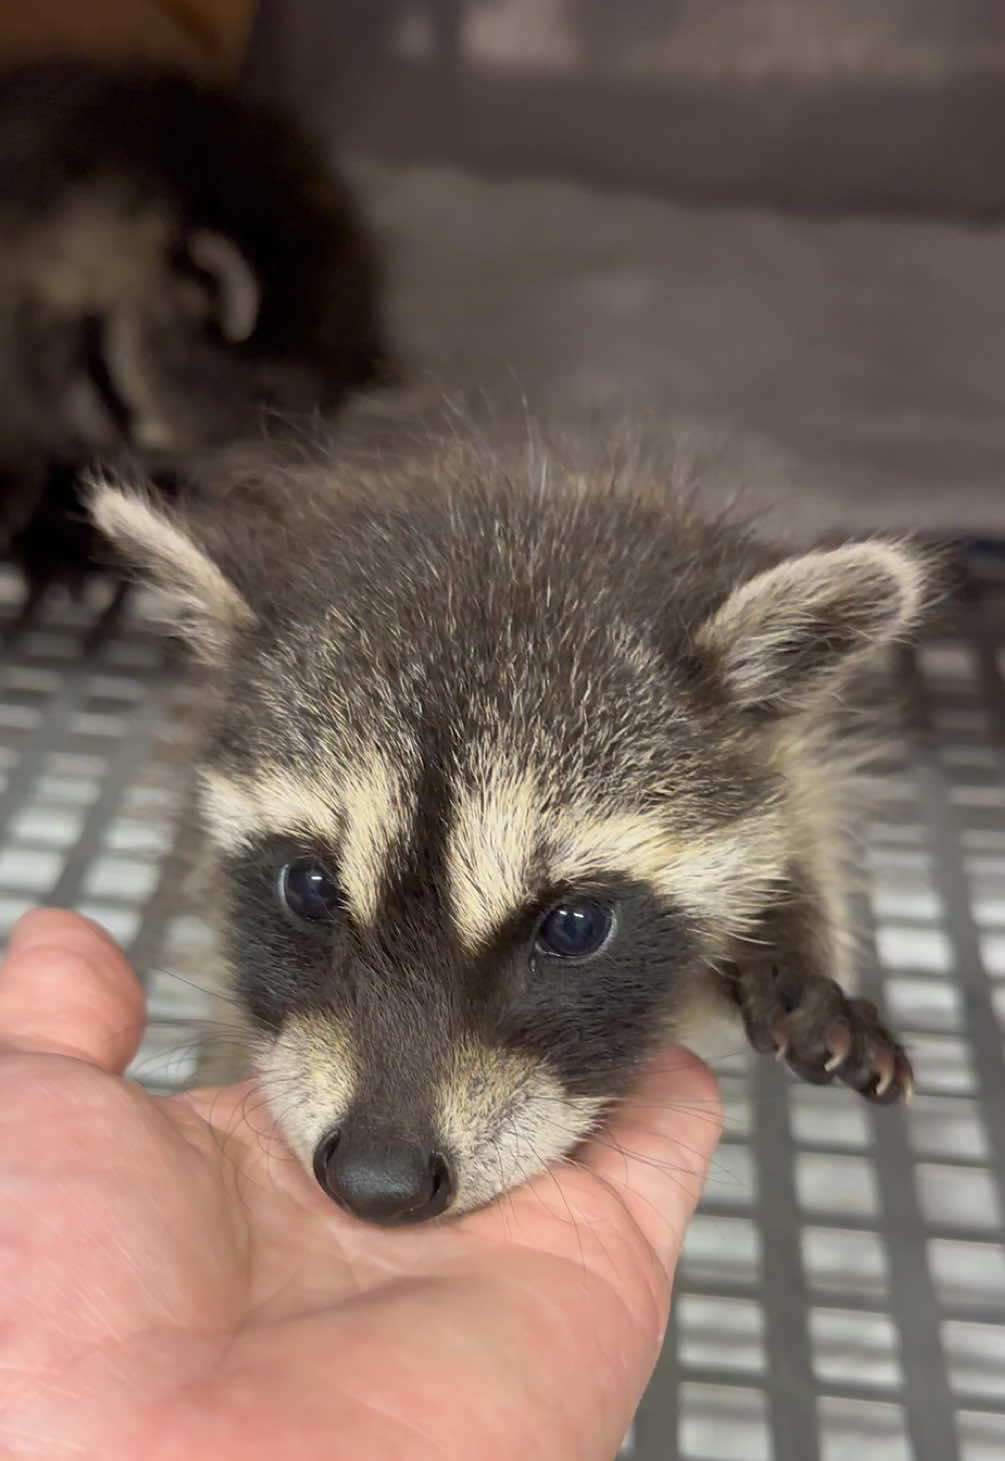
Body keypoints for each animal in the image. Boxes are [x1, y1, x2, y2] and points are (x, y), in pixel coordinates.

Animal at [90, 433, 928, 1227]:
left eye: (575, 925)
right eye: (309, 885)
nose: (376, 1180)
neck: (510, 512)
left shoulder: (783, 747)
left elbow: (802, 812)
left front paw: (791, 947)